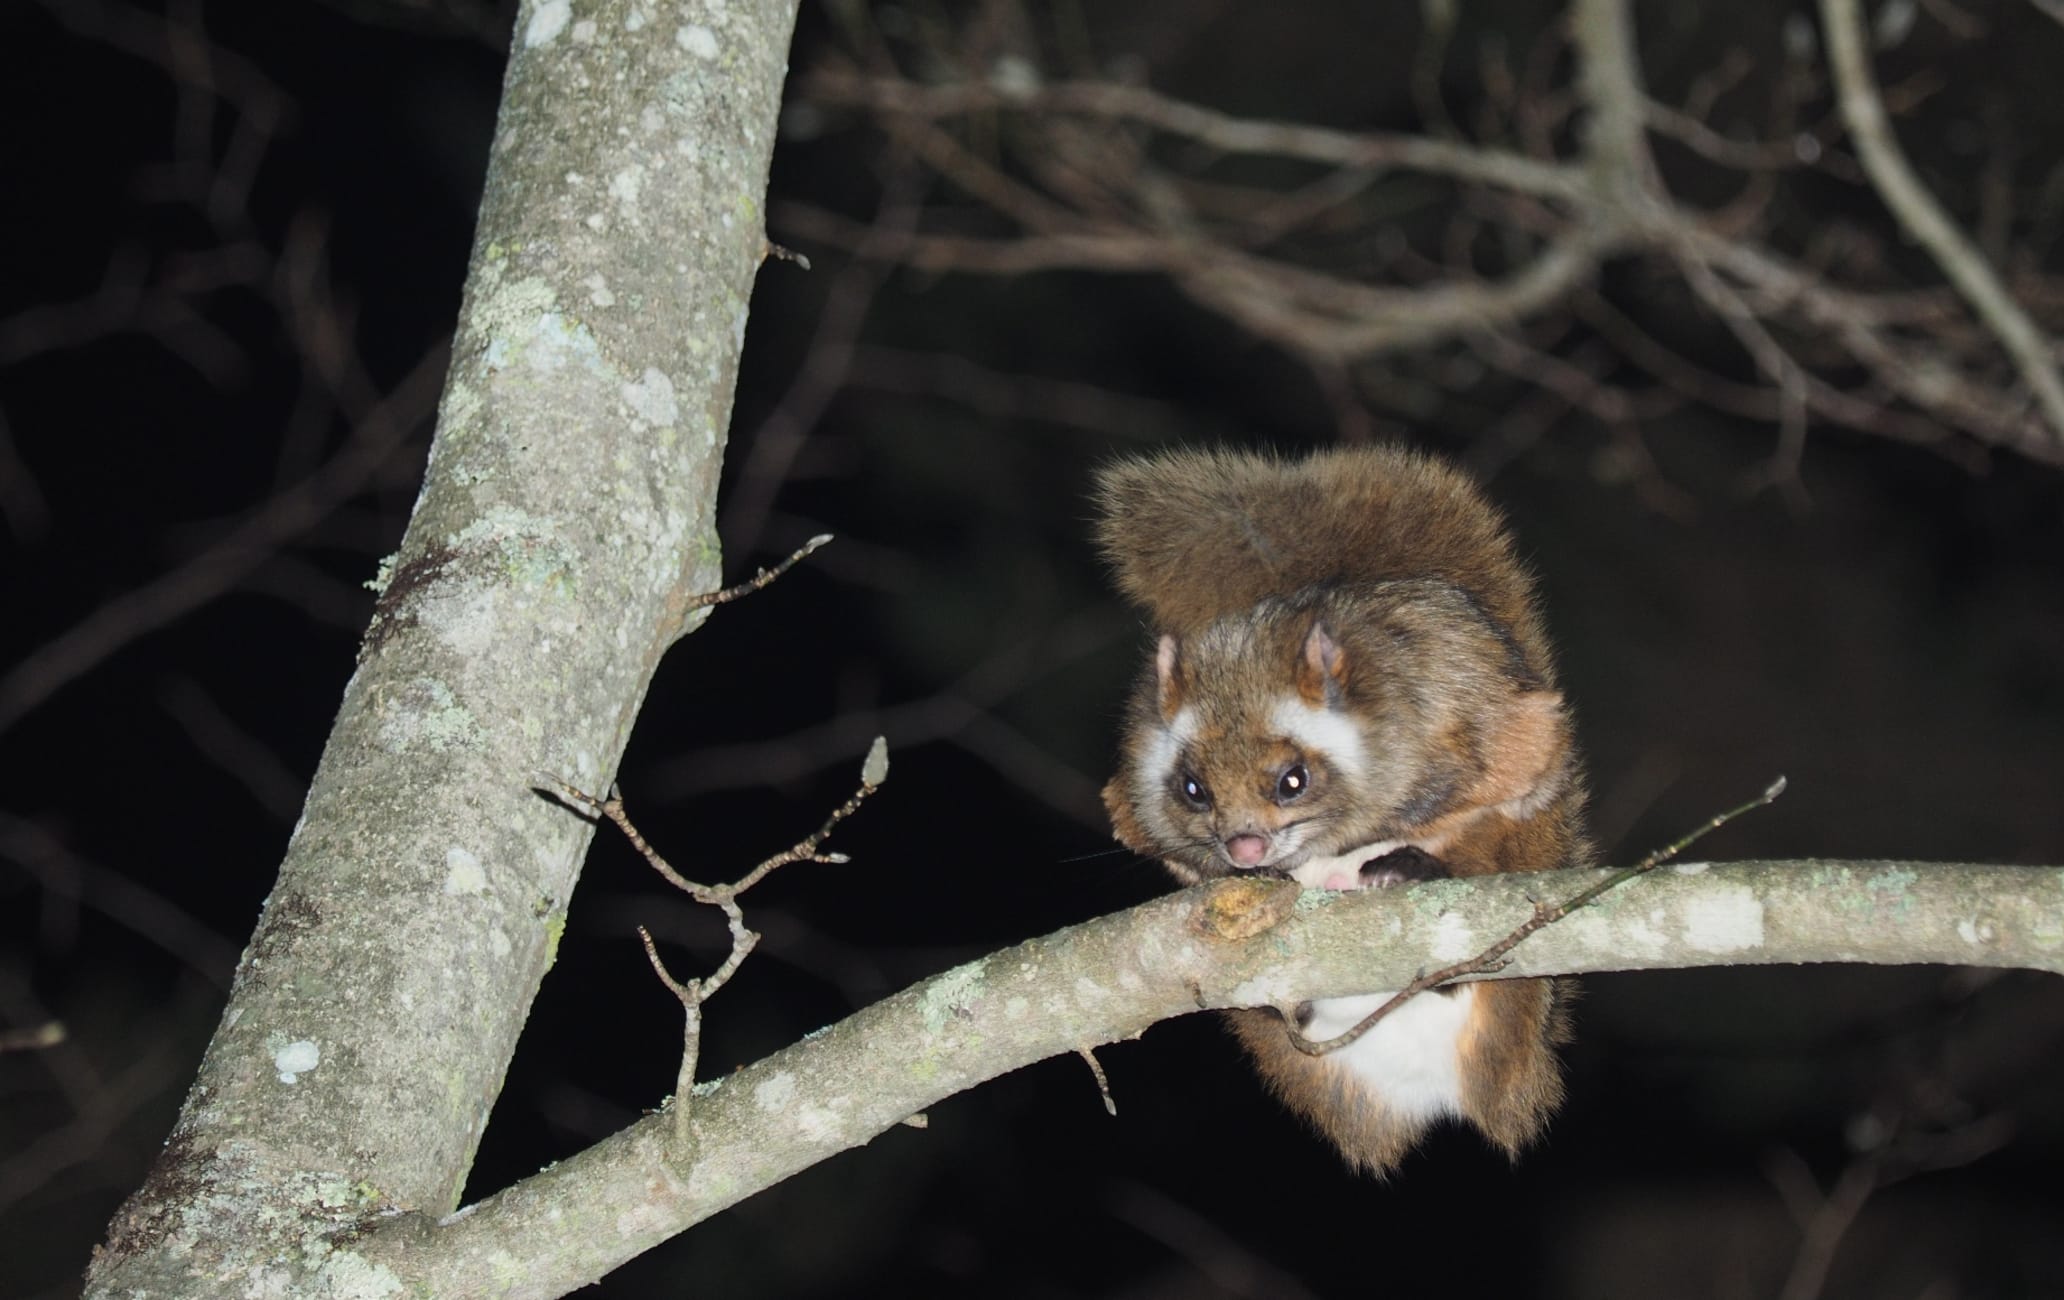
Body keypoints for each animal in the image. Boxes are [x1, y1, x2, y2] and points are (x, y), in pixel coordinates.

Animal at [1106, 443, 1585, 1180]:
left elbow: (1510, 767)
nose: (1244, 850)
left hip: (1526, 854)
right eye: (1193, 790)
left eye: (1293, 781)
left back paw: (1408, 875)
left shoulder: (1480, 725)